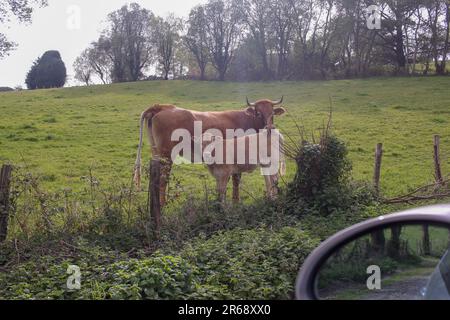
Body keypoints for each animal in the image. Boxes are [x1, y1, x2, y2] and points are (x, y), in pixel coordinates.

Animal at [134, 97, 284, 206]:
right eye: (258, 113)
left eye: (272, 113)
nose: (269, 127)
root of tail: (162, 106)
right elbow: (236, 179)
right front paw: (236, 202)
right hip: (166, 156)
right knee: (163, 179)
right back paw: (162, 204)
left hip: (156, 153)